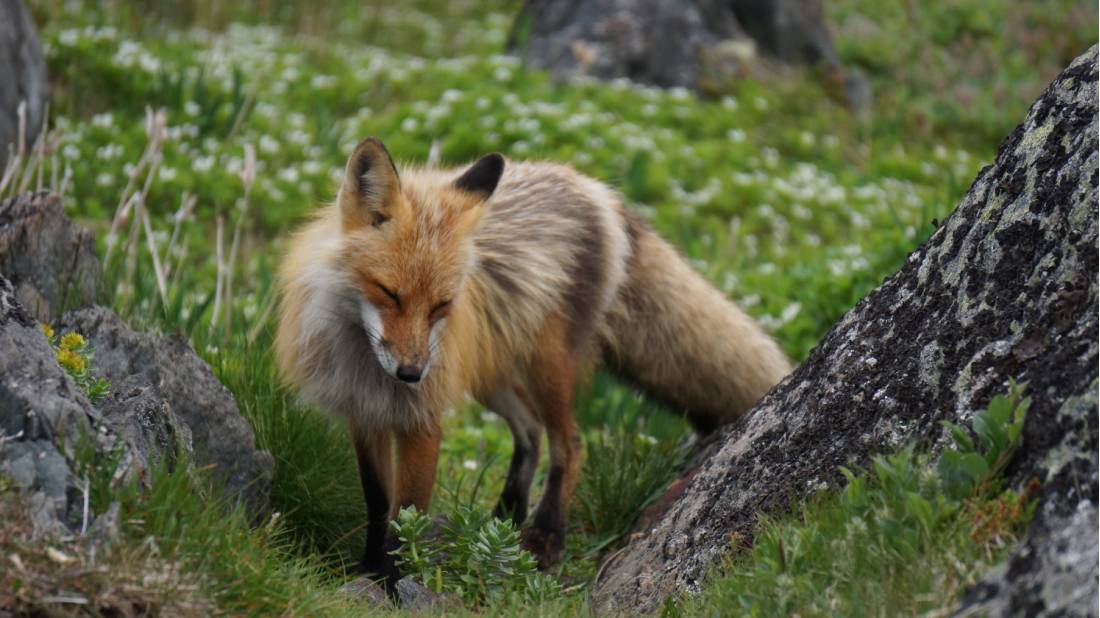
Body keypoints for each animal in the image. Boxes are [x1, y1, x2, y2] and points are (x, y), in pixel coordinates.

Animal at [273, 135, 792, 580]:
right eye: (389, 293)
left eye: (441, 305)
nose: (412, 373)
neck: (360, 355)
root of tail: (597, 191)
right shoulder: (364, 413)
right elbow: (379, 504)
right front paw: (366, 568)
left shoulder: (421, 420)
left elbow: (409, 515)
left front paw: (391, 582)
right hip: (492, 372)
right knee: (530, 430)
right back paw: (504, 518)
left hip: (548, 365)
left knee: (570, 442)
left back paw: (544, 535)